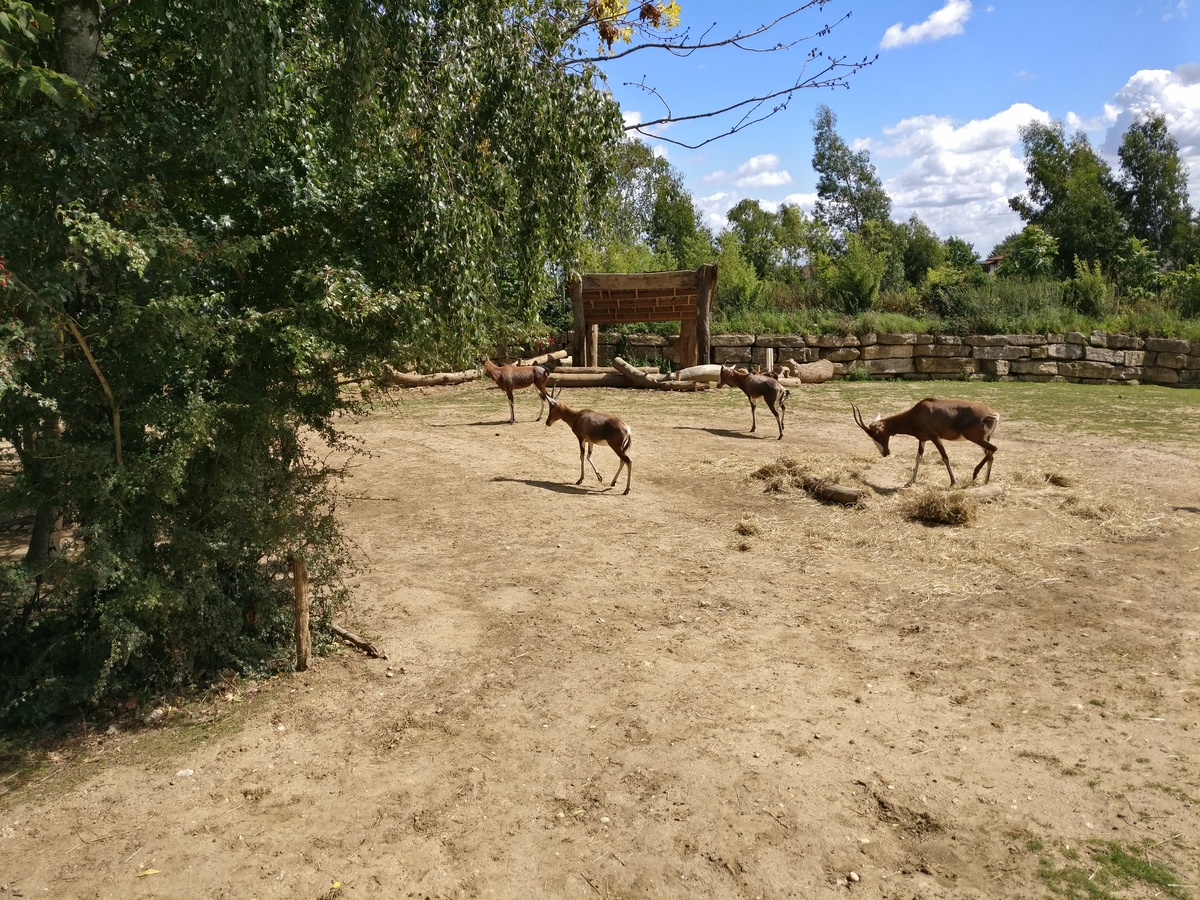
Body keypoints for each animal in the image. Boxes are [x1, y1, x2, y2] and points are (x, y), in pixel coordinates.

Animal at [854, 400, 1003, 489]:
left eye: (875, 435)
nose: (885, 453)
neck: (921, 410)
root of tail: (993, 414)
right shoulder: (923, 439)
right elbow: (918, 457)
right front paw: (910, 482)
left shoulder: (934, 437)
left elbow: (945, 457)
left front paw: (953, 482)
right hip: (984, 439)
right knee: (991, 455)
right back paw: (985, 481)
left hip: (975, 438)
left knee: (994, 449)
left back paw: (975, 474)